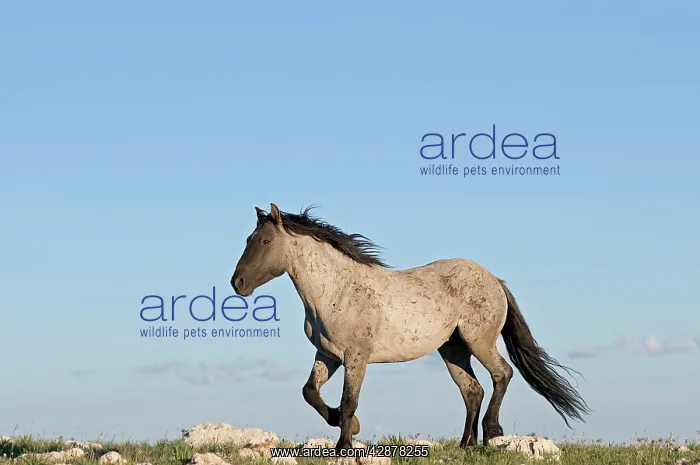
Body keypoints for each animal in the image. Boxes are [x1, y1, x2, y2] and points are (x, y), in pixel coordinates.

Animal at [230, 203, 590, 452]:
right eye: (249, 239)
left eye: (265, 241)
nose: (238, 283)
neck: (335, 290)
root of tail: (494, 280)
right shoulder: (328, 355)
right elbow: (310, 393)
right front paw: (349, 428)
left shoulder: (356, 357)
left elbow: (349, 401)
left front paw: (345, 444)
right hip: (453, 349)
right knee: (472, 390)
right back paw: (466, 444)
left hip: (479, 341)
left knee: (502, 374)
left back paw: (493, 433)